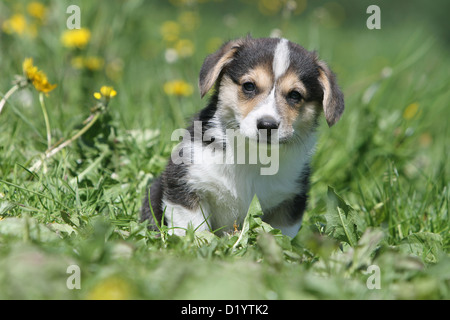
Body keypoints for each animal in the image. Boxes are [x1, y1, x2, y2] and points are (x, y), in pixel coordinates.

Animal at [141, 37, 344, 238]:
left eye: (295, 95)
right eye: (249, 86)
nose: (267, 125)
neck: (252, 155)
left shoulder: (289, 203)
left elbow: (281, 235)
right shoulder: (185, 186)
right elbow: (193, 229)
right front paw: (196, 243)